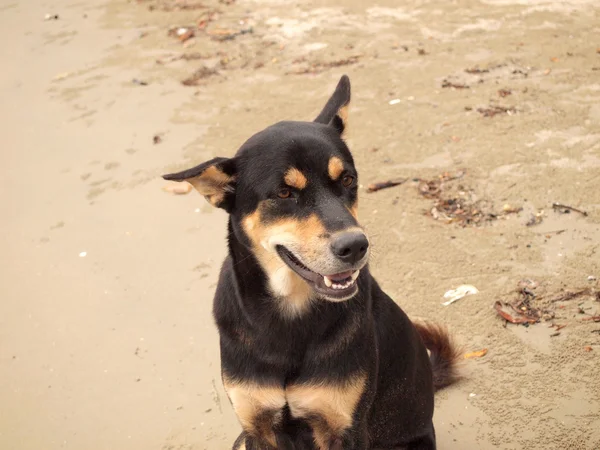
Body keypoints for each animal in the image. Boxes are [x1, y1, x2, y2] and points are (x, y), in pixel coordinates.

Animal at [163, 75, 460, 448]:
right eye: (284, 193)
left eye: (347, 180)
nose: (355, 246)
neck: (290, 315)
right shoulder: (256, 426)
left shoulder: (345, 429)